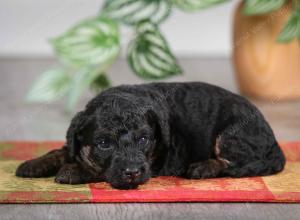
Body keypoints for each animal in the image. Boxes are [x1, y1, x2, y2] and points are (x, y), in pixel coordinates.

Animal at [15, 82, 284, 189]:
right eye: (104, 143)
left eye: (144, 139)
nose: (133, 172)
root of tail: (275, 145)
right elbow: (62, 150)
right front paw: (33, 163)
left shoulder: (156, 162)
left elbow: (99, 171)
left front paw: (73, 170)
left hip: (233, 133)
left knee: (236, 163)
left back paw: (203, 167)